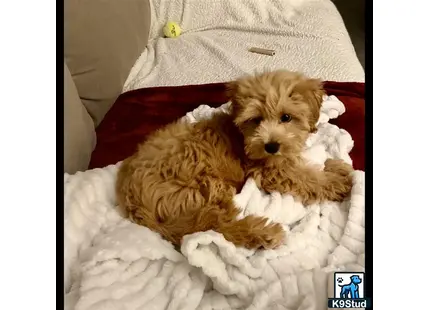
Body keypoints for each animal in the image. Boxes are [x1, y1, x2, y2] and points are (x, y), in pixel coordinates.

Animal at [116, 69, 352, 249]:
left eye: (286, 117)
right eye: (256, 119)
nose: (271, 146)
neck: (241, 136)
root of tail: (133, 202)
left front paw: (335, 167)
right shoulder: (270, 170)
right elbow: (305, 177)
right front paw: (338, 181)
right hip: (202, 185)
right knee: (215, 227)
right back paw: (262, 233)